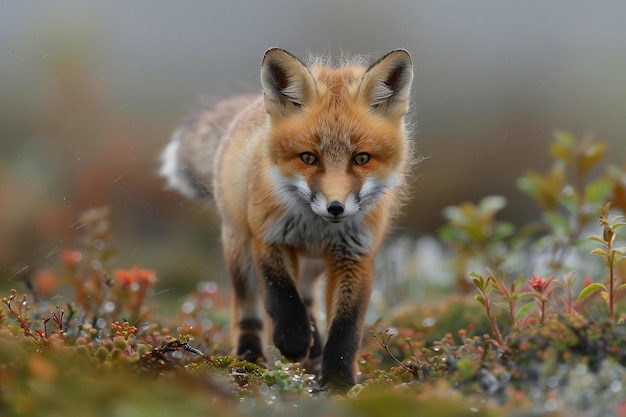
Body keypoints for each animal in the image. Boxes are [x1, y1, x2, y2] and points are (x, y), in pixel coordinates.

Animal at [160, 48, 414, 390]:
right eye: (309, 158)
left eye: (361, 158)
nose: (336, 208)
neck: (315, 228)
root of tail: (251, 106)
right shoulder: (268, 238)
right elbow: (281, 295)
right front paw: (293, 340)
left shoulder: (355, 254)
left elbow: (346, 326)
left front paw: (338, 379)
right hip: (240, 252)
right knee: (250, 310)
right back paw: (251, 357)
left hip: (312, 266)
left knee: (308, 301)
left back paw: (314, 351)